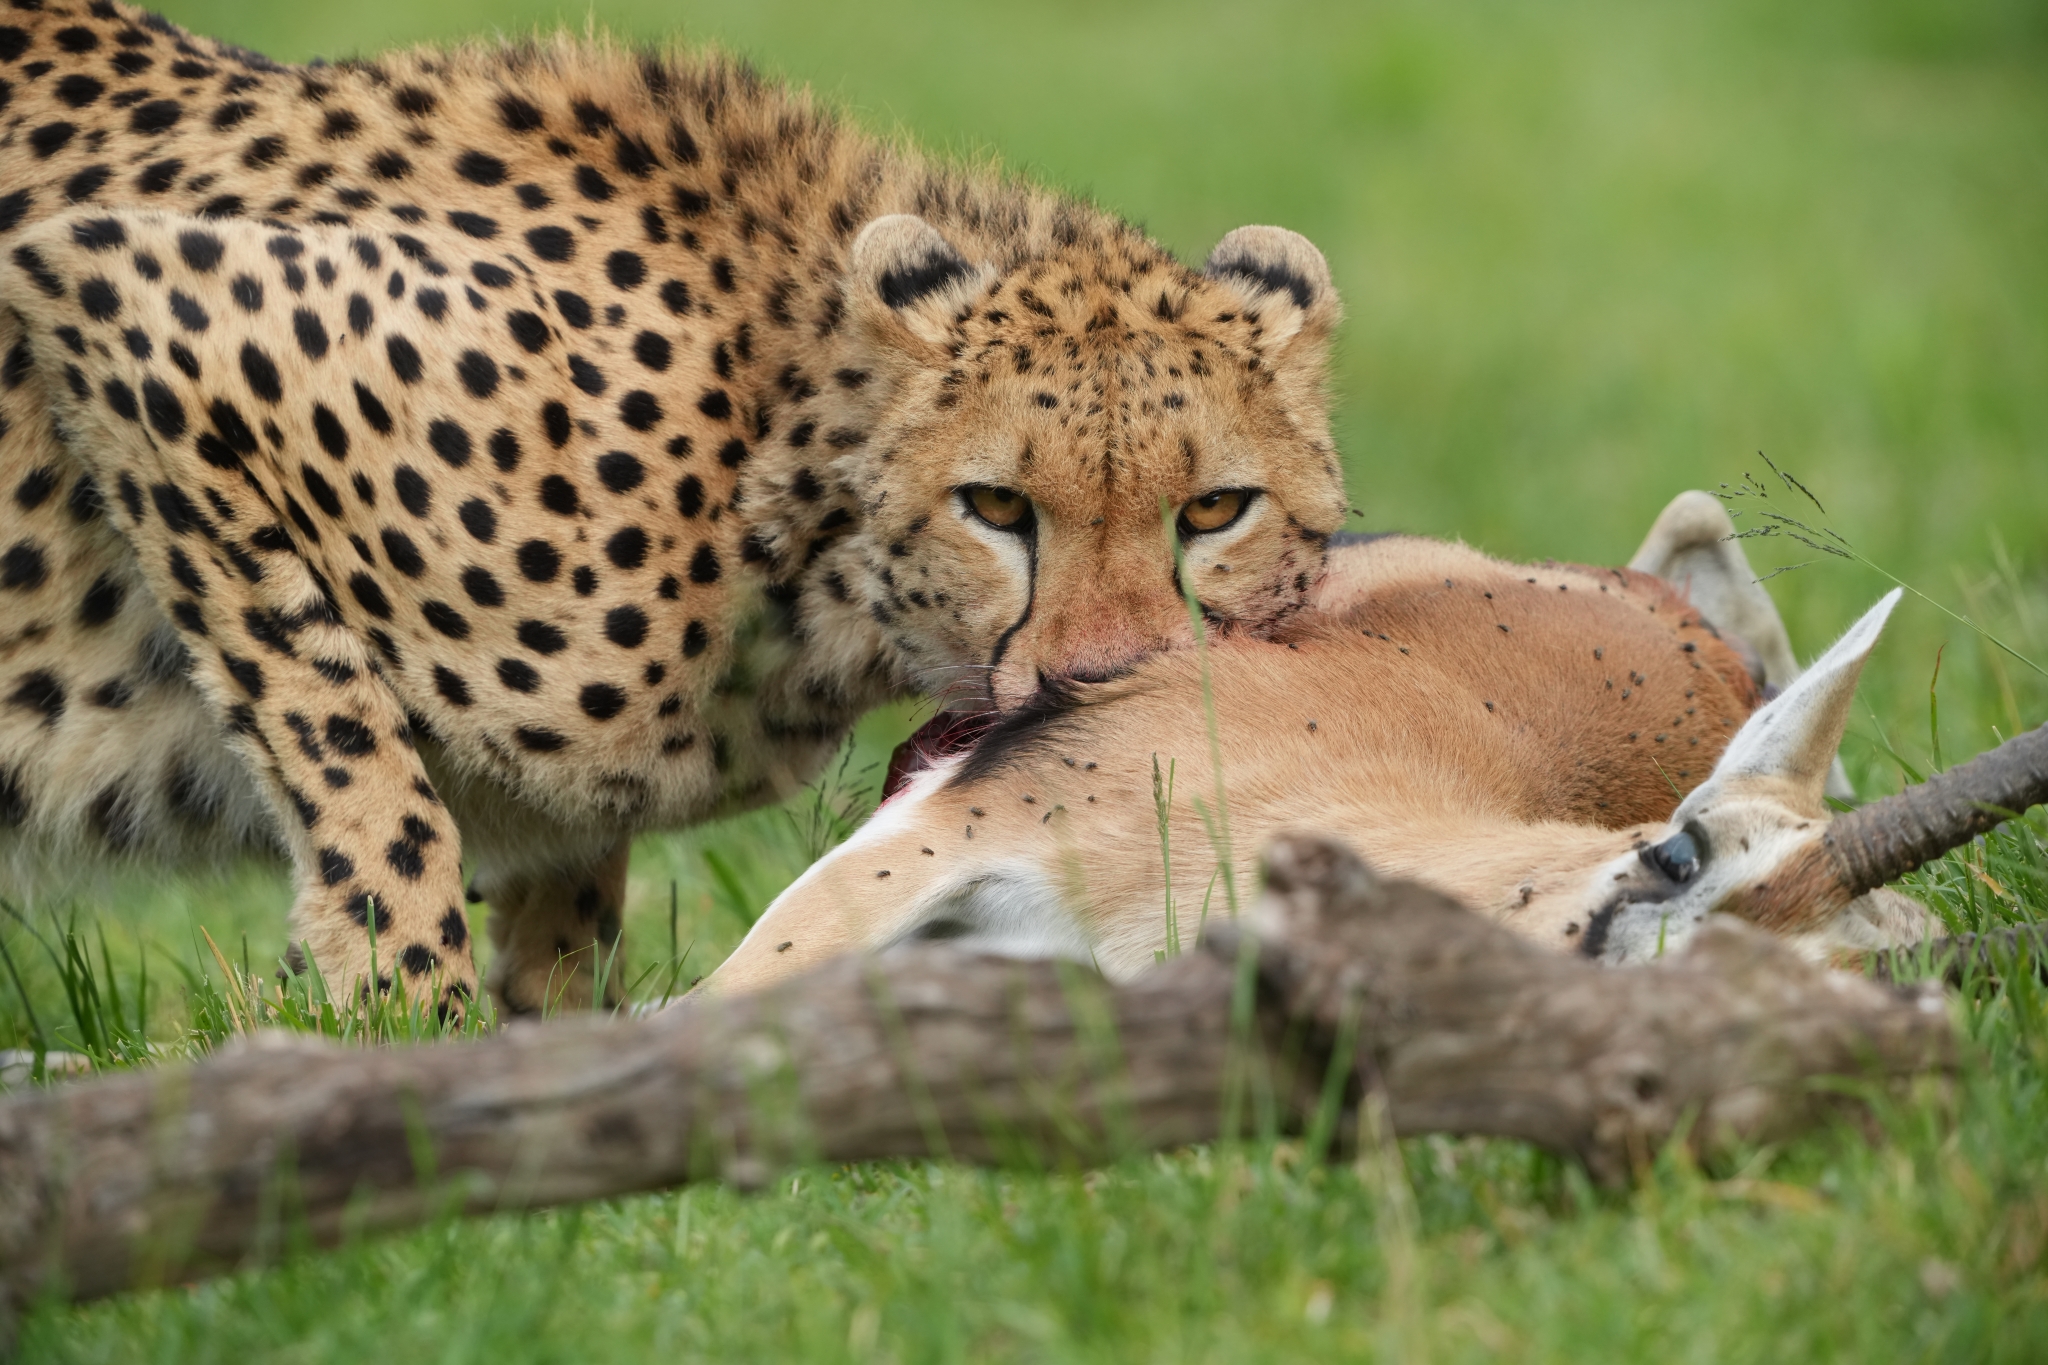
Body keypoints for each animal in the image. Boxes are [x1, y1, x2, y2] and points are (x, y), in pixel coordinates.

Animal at [0, 1, 1348, 1017]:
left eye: (1214, 509)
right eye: (994, 505)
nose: (1101, 682)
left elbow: (561, 892)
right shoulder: (136, 309)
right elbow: (368, 786)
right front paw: (398, 1030)